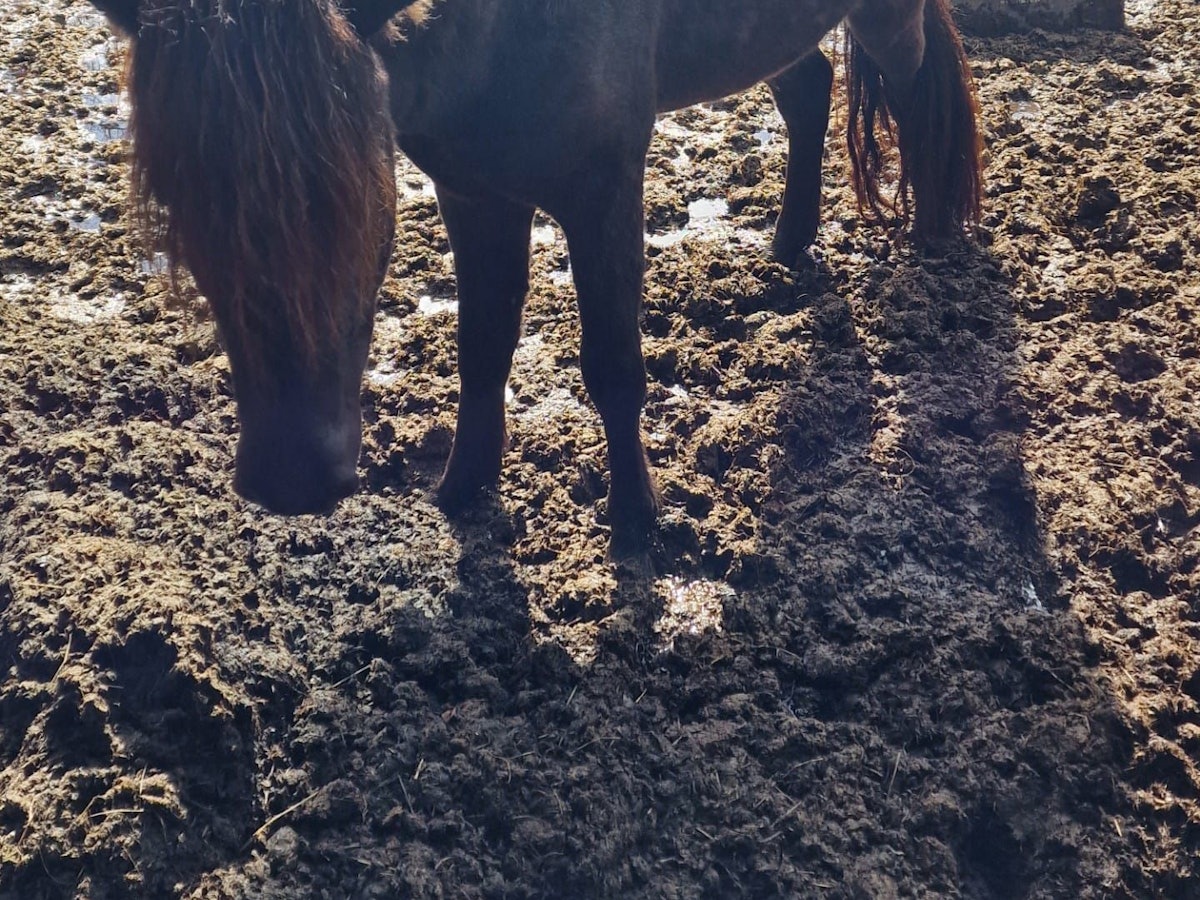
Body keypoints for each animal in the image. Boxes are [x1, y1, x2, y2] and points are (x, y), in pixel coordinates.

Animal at [87, 0, 982, 553]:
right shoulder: (473, 192)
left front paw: (636, 524)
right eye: (182, 204)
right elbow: (482, 347)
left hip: (884, 18)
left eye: (359, 196)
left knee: (915, 78)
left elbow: (613, 367)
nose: (291, 477)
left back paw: (933, 232)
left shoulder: (604, 189)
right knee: (808, 86)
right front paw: (463, 490)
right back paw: (789, 243)